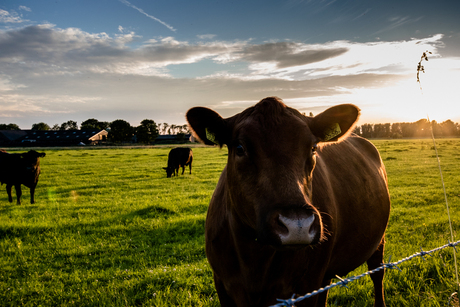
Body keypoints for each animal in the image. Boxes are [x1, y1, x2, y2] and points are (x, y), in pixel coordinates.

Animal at [187, 97, 392, 307]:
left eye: (313, 148)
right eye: (240, 148)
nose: (297, 225)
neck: (253, 261)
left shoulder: (307, 285)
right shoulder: (222, 283)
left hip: (379, 238)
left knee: (378, 272)